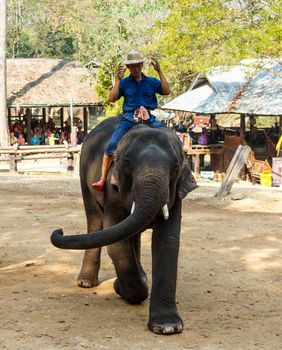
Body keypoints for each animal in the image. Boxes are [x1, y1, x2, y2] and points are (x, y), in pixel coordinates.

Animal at [50, 116, 196, 334]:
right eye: (127, 164)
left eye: (176, 167)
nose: (59, 230)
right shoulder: (113, 189)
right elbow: (117, 242)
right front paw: (120, 287)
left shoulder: (176, 193)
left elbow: (167, 241)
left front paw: (168, 327)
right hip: (85, 178)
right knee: (95, 222)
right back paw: (86, 283)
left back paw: (141, 276)